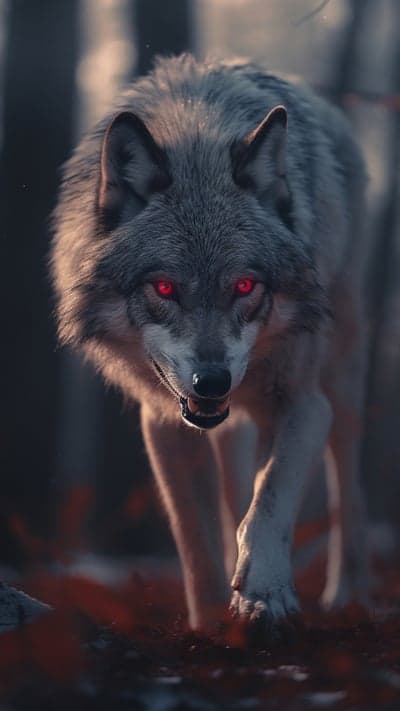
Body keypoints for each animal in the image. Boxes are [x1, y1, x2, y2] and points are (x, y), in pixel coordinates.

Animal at [51, 54, 369, 635]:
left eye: (244, 285)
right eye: (163, 288)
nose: (212, 380)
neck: (196, 142)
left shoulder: (305, 405)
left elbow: (269, 501)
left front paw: (266, 593)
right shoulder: (163, 425)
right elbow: (195, 543)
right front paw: (212, 628)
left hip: (343, 377)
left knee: (347, 493)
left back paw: (348, 597)